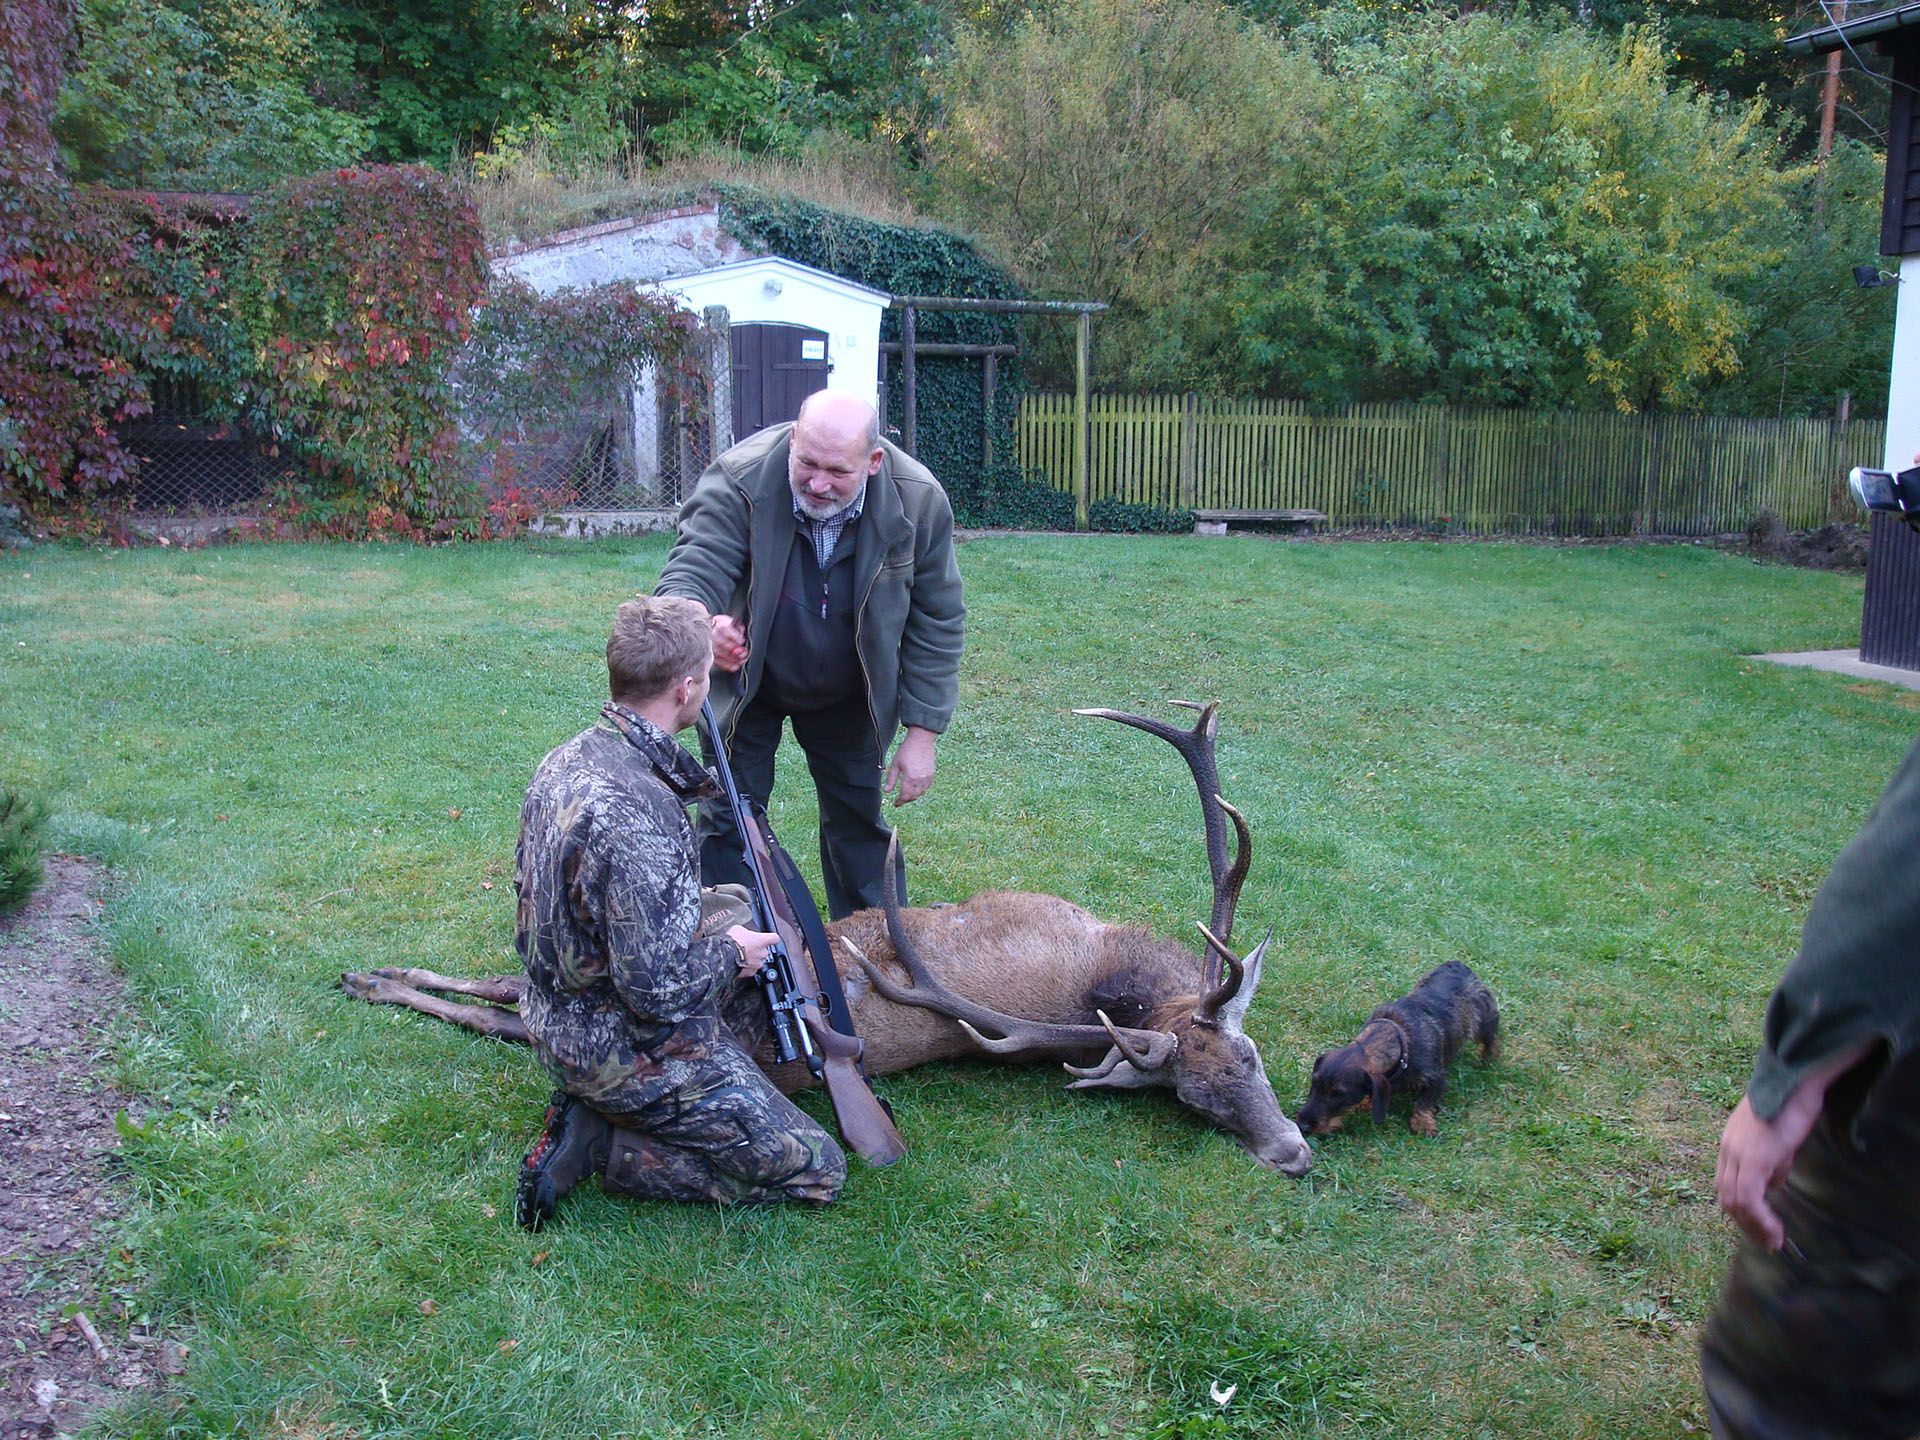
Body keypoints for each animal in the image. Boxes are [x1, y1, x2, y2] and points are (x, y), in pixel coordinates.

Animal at [340, 702, 1314, 1177]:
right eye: (1218, 1081)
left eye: (1241, 1073)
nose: (1294, 1151)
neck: (1110, 977)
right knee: (511, 999)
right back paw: (375, 977)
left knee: (513, 1005)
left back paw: (376, 977)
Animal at [1295, 961, 1499, 1138]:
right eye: (1314, 1083)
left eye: (1338, 1093)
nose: (1302, 1126)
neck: (1400, 1041)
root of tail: (1458, 965)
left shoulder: (1437, 1078)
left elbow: (1424, 1102)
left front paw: (1423, 1124)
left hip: (1484, 1021)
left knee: (1493, 1038)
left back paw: (1489, 1058)